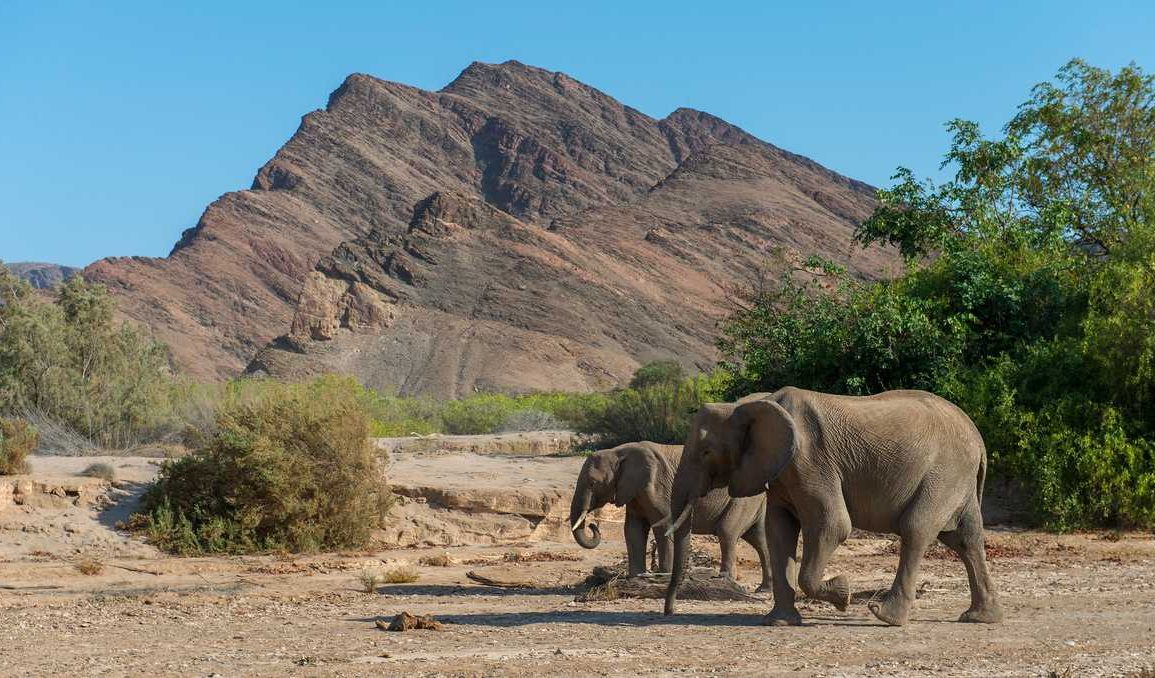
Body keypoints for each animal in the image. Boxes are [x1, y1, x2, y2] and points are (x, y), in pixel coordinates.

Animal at [570, 441, 776, 589]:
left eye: (593, 483)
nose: (593, 525)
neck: (617, 452)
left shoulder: (657, 485)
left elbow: (662, 526)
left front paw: (663, 576)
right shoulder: (634, 491)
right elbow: (633, 530)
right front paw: (635, 578)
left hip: (742, 498)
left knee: (727, 533)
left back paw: (726, 580)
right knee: (759, 539)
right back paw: (764, 589)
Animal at [665, 388, 1007, 628]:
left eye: (706, 451)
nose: (669, 612)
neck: (755, 403)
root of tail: (978, 438)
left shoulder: (810, 462)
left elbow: (833, 525)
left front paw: (843, 593)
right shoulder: (781, 472)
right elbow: (779, 532)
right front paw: (778, 622)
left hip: (944, 473)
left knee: (916, 529)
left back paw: (884, 615)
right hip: (957, 479)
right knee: (965, 538)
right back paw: (980, 618)